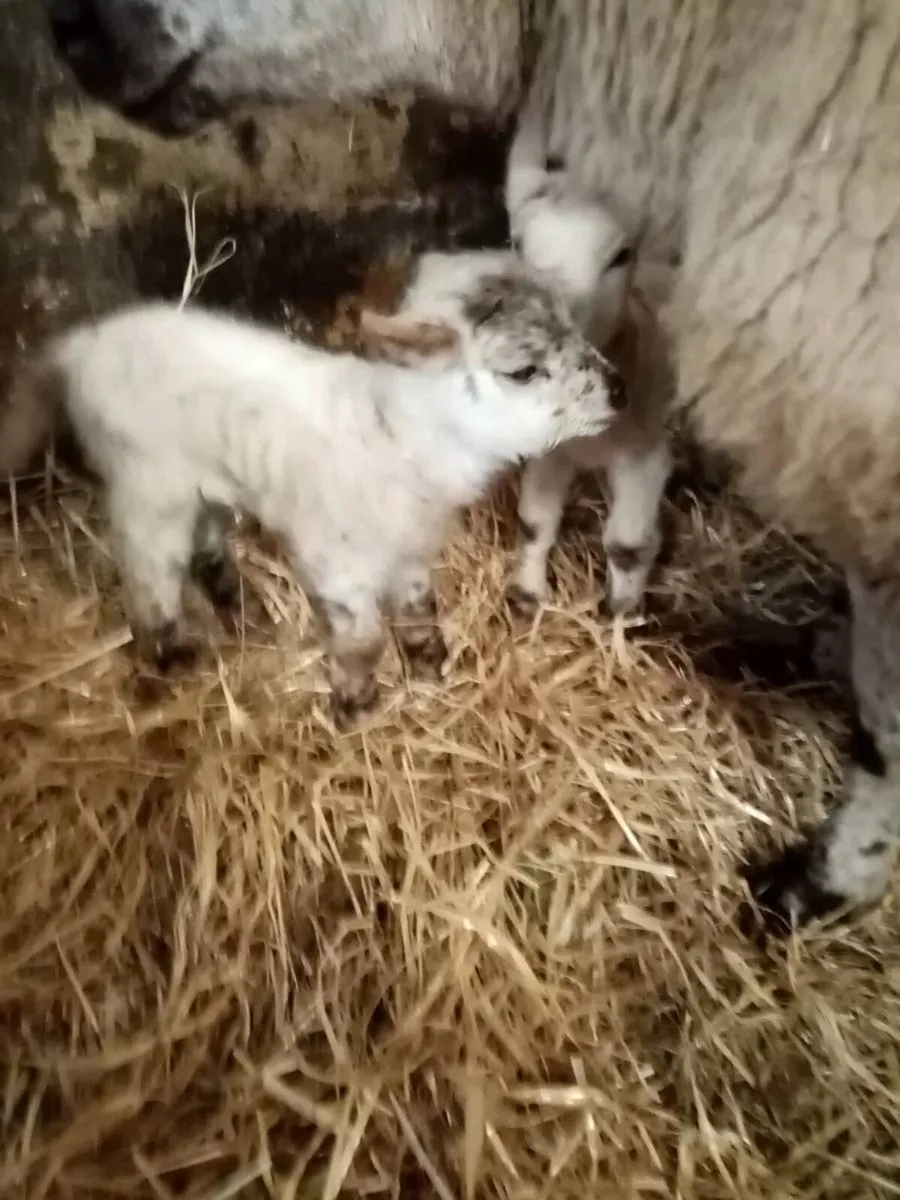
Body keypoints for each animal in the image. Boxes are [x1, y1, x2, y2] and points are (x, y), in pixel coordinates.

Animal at [0, 270, 626, 728]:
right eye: (522, 371)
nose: (619, 388)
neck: (401, 435)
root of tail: (79, 345)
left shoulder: (410, 547)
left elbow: (419, 607)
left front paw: (429, 660)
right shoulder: (338, 562)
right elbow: (363, 641)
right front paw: (356, 706)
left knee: (205, 543)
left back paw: (243, 610)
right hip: (148, 483)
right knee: (148, 570)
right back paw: (173, 653)